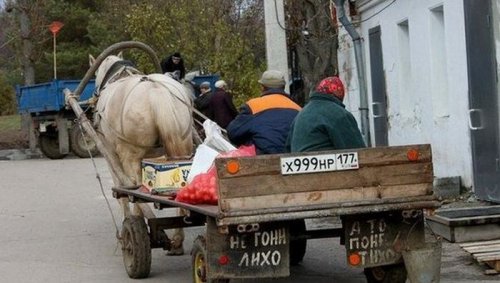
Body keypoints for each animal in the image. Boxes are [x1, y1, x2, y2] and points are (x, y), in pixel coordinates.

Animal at [89, 52, 192, 255]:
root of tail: (156, 92)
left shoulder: (111, 155)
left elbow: (121, 189)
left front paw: (125, 226)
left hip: (131, 155)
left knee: (134, 188)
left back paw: (137, 226)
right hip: (184, 146)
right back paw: (177, 240)